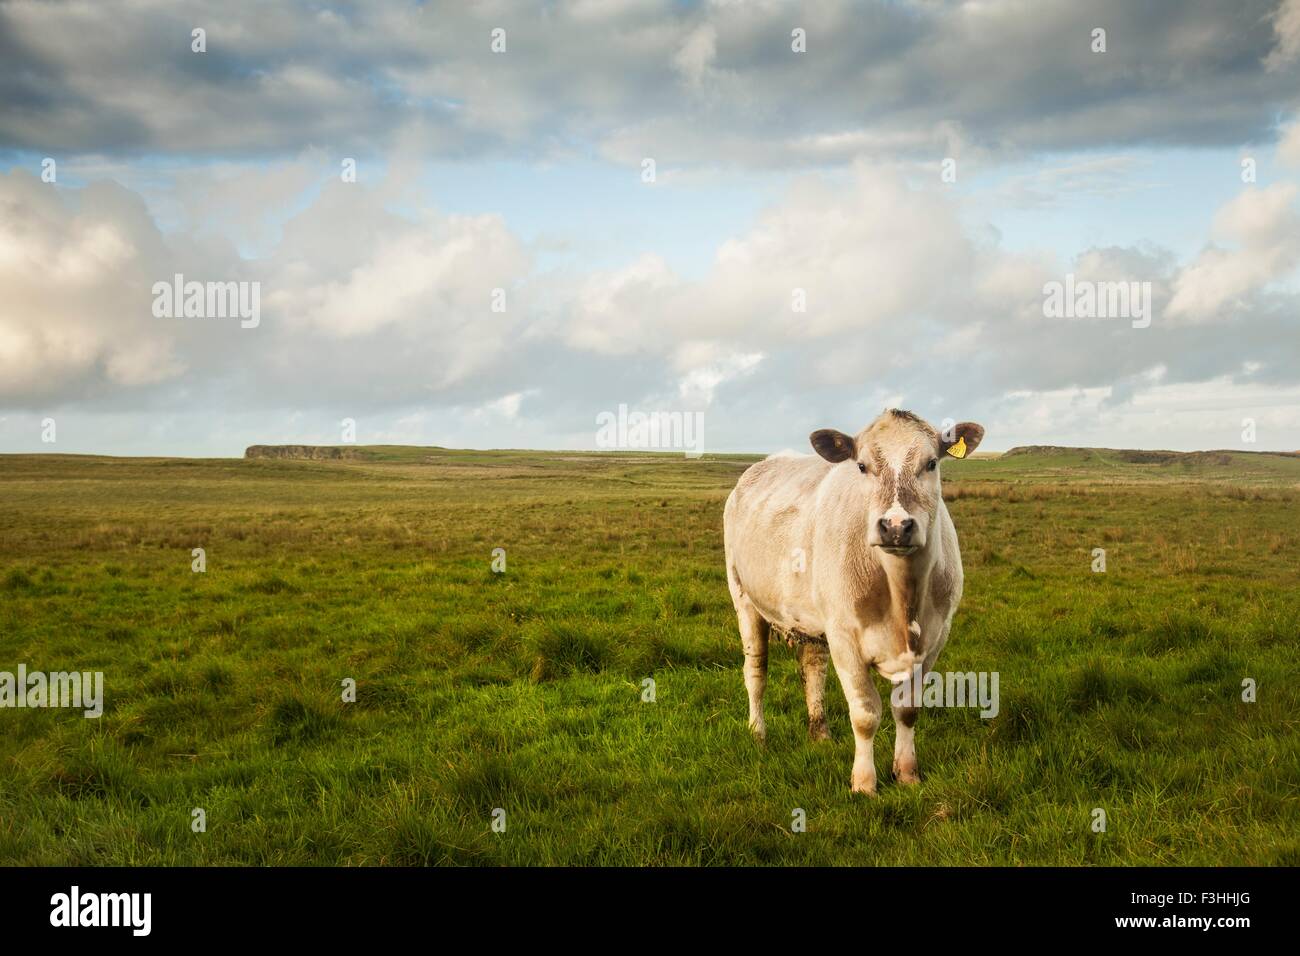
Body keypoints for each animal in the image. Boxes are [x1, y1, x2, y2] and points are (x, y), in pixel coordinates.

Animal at [722, 408, 982, 790]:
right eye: (861, 466)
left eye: (932, 463)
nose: (895, 526)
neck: (904, 595)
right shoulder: (845, 637)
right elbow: (865, 714)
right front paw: (863, 783)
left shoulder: (935, 638)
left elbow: (907, 709)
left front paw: (907, 773)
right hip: (743, 597)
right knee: (756, 670)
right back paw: (758, 733)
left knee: (813, 666)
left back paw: (820, 734)